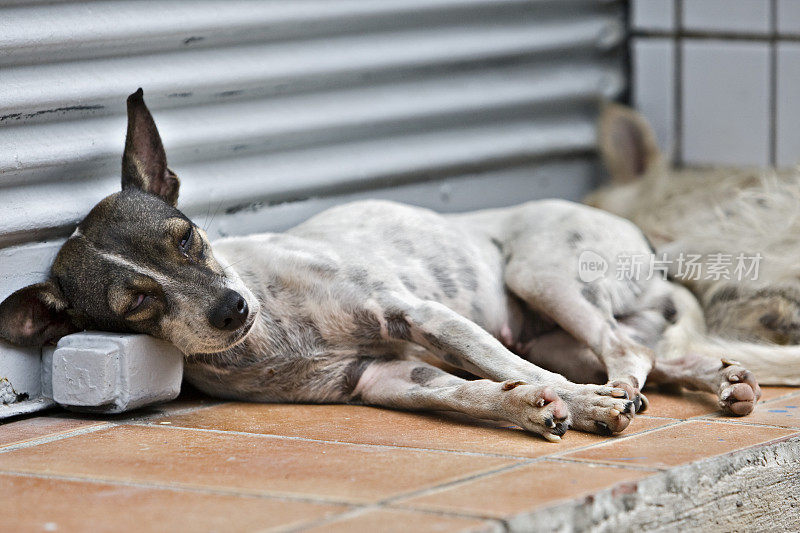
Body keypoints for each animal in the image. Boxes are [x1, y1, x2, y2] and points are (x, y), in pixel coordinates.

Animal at [0, 90, 764, 440]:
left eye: (185, 239)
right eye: (136, 303)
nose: (231, 308)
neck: (275, 329)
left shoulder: (417, 314)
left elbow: (513, 371)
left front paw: (576, 404)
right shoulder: (385, 378)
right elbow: (474, 391)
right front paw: (525, 408)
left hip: (540, 275)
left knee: (625, 348)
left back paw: (623, 388)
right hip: (554, 325)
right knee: (652, 353)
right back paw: (721, 381)